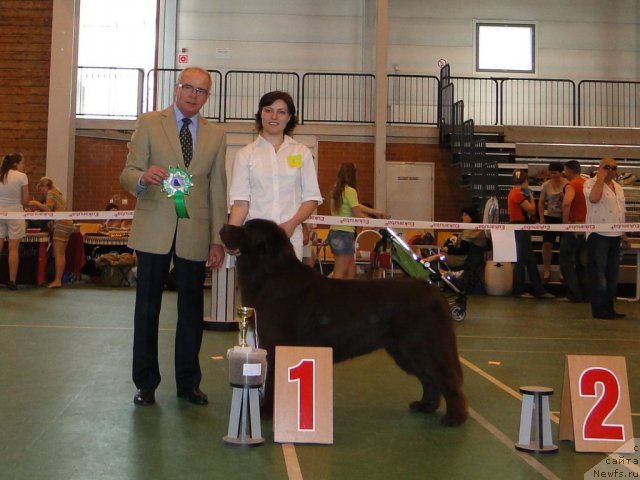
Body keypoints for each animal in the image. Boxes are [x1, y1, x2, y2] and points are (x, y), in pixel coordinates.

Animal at [222, 219, 468, 426]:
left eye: (246, 229)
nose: (224, 226)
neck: (271, 273)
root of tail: (434, 291)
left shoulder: (276, 344)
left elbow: (274, 378)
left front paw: (265, 411)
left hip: (422, 346)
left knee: (445, 377)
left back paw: (454, 418)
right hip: (405, 351)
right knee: (429, 379)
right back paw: (425, 406)